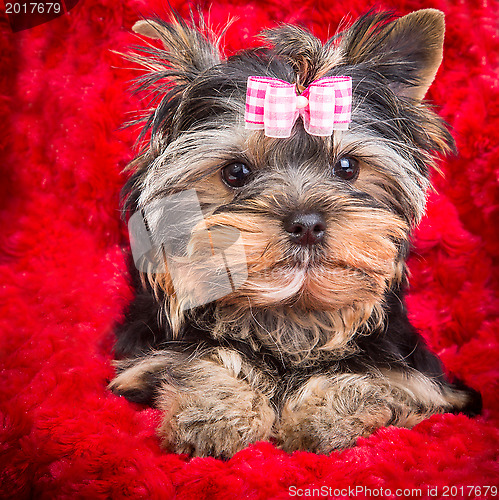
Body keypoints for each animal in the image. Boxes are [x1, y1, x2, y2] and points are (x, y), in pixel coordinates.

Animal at [111, 9, 482, 458]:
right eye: (235, 172)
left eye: (347, 167)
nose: (306, 223)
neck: (291, 317)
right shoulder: (147, 359)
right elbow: (201, 359)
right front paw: (217, 415)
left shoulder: (421, 384)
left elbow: (369, 377)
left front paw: (325, 417)